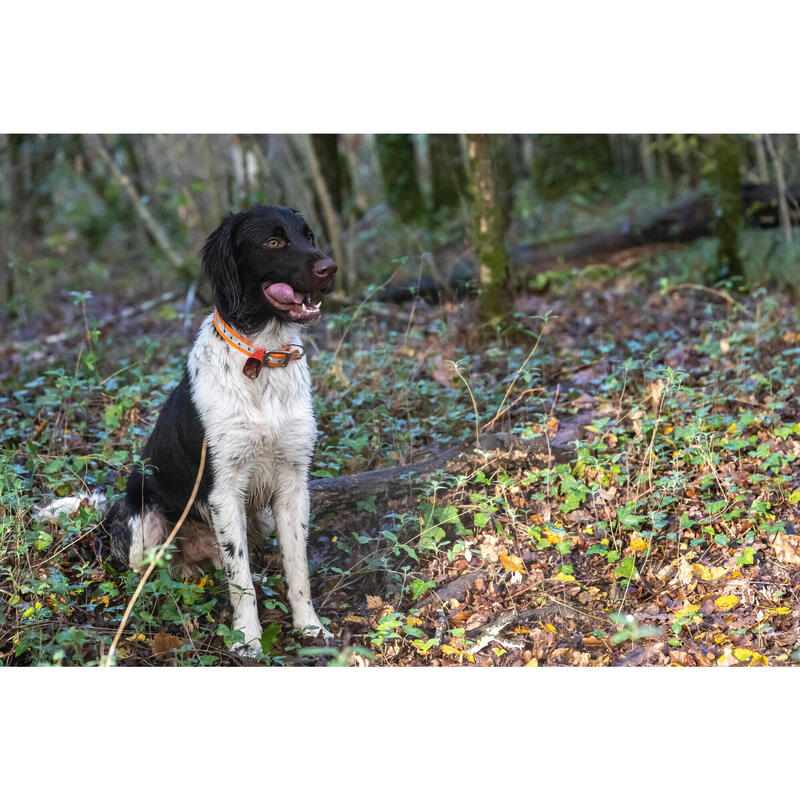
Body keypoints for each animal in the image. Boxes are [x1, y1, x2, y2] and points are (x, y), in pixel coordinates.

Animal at [39, 206, 338, 656]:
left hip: (261, 517)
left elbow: (296, 570)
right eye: (273, 242)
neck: (261, 358)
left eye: (309, 236)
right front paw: (248, 641)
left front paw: (310, 628)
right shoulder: (223, 489)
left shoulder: (292, 483)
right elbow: (240, 582)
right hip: (142, 517)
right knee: (146, 572)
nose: (330, 268)